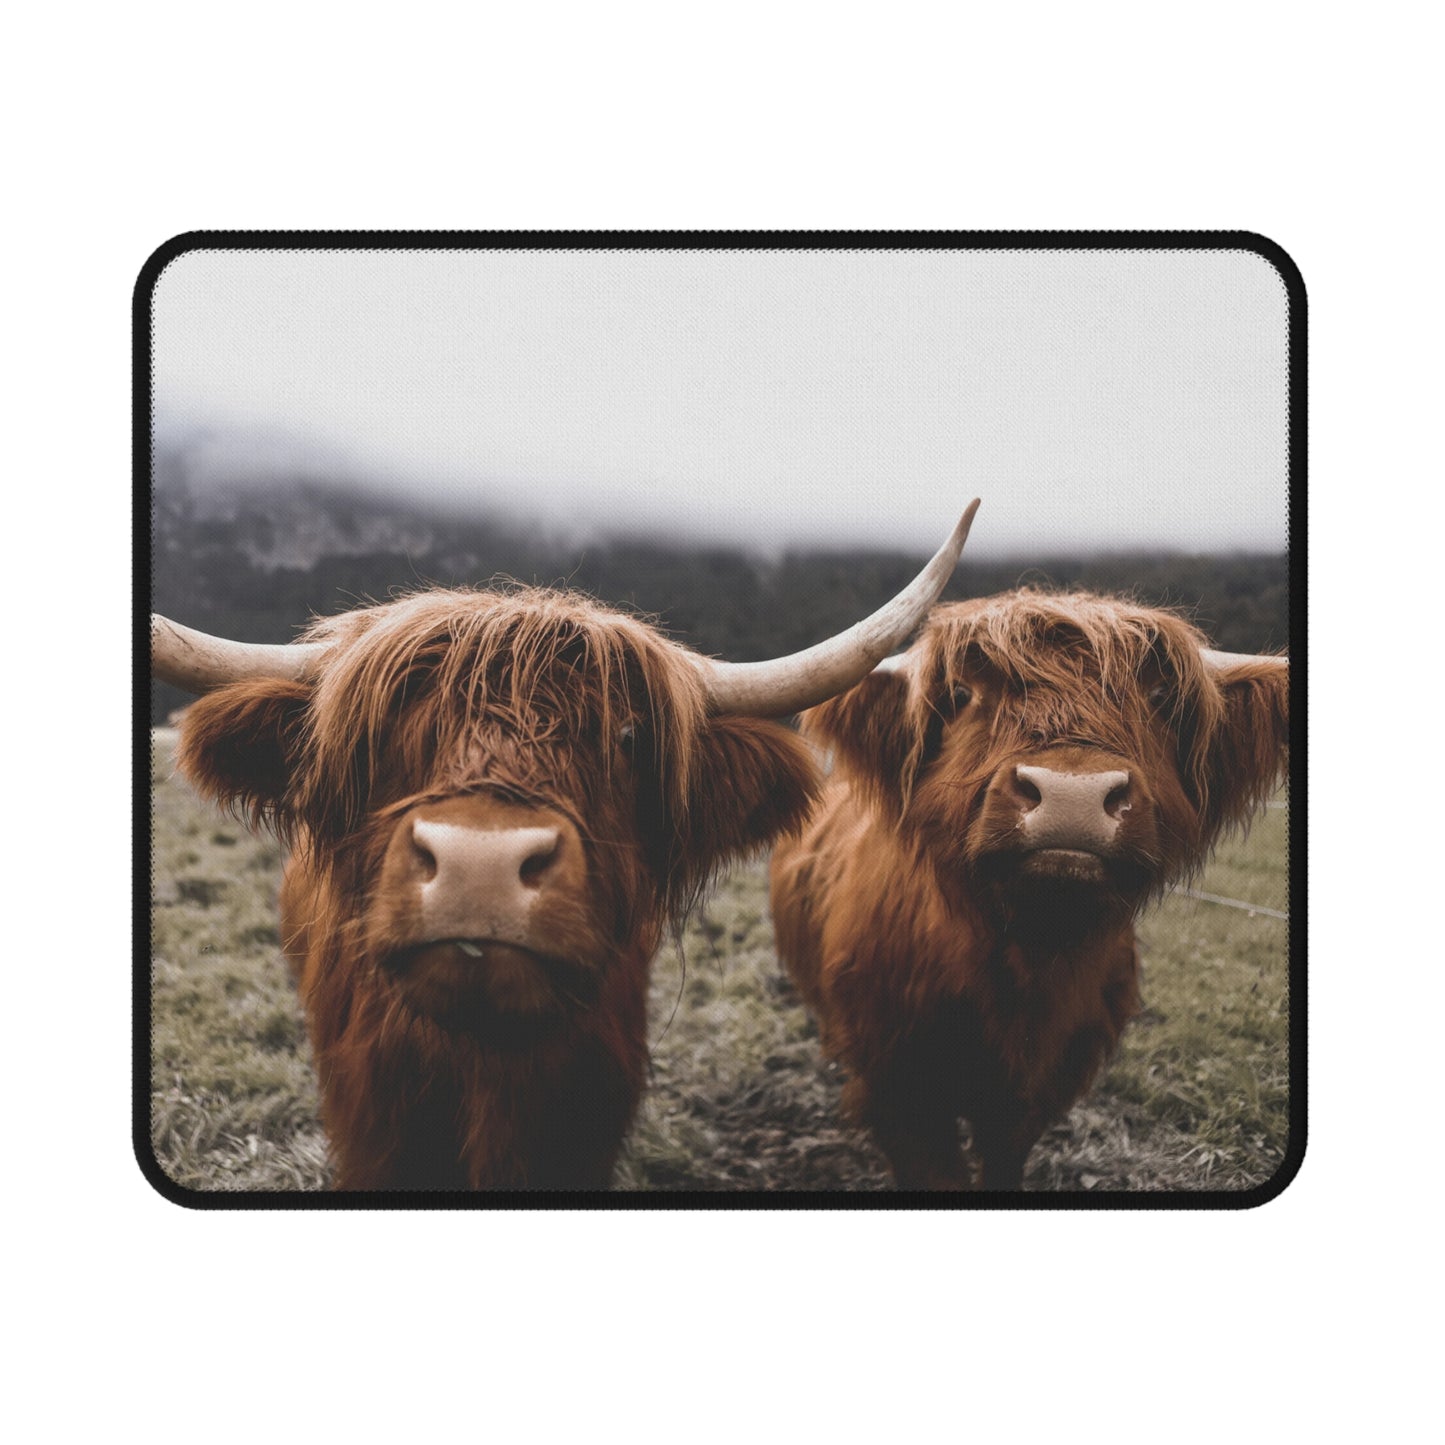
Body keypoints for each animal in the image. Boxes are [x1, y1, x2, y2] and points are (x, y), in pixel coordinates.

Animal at [769, 588, 1289, 1190]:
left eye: (1159, 697)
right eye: (962, 694)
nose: (1072, 795)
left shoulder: (1040, 1092)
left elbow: (1004, 1157)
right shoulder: (898, 1087)